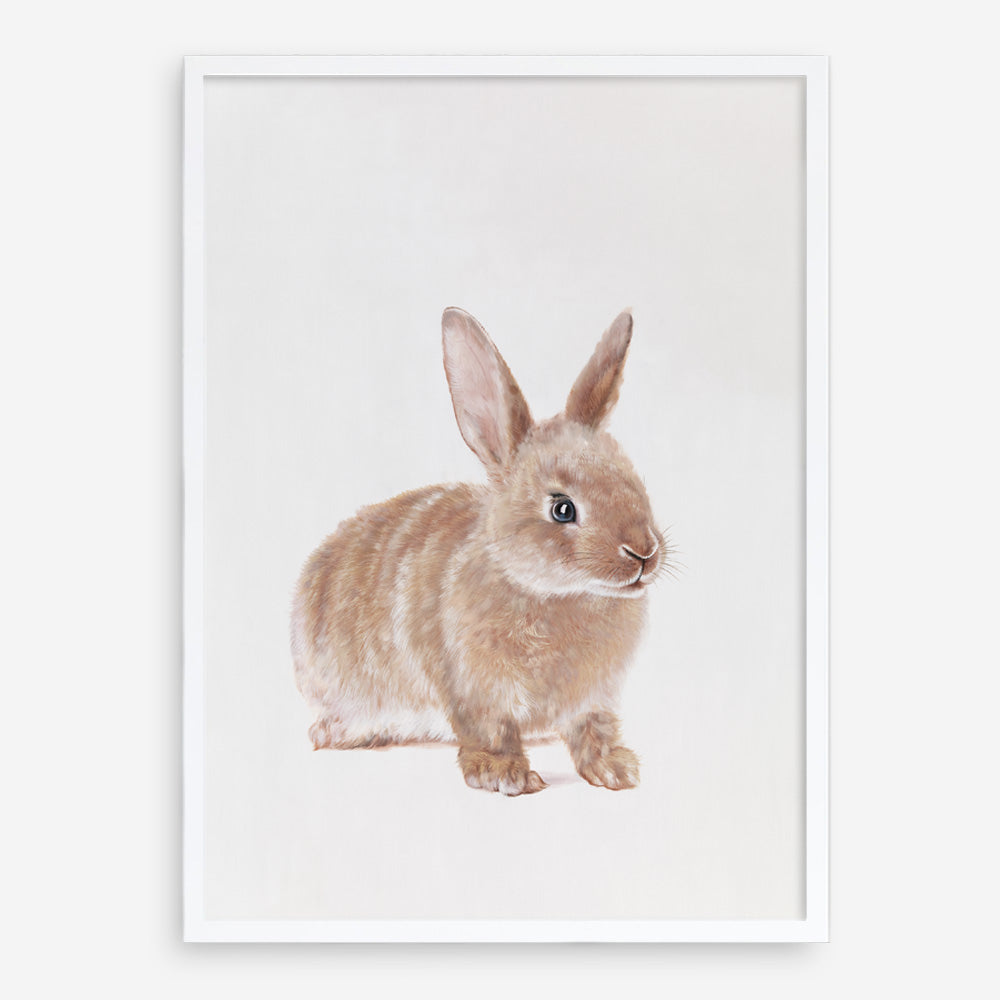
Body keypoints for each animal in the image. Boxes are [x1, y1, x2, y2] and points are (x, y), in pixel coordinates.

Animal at [291, 307, 667, 795]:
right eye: (562, 508)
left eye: (635, 482)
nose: (644, 553)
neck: (552, 592)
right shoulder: (476, 689)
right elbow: (491, 731)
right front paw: (505, 775)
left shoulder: (593, 700)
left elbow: (594, 730)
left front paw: (617, 770)